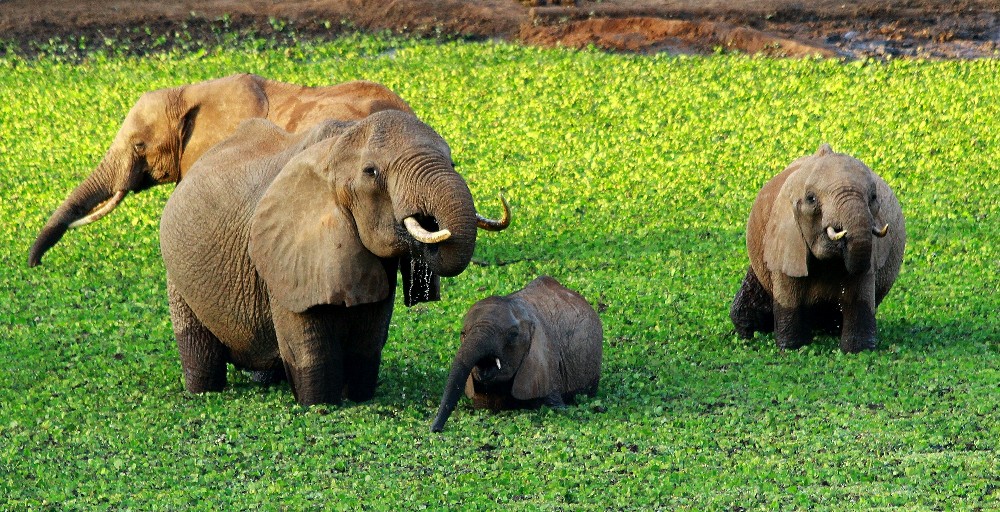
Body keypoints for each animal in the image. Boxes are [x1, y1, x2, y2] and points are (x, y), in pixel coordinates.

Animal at [162, 110, 516, 406]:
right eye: (371, 172)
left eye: (452, 162)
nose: (429, 221)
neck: (335, 152)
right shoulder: (285, 258)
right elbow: (309, 345)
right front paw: (319, 407)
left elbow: (369, 339)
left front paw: (358, 400)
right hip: (175, 273)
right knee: (199, 351)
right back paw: (203, 391)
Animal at [728, 144, 908, 352]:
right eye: (811, 199)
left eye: (873, 197)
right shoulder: (785, 240)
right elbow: (789, 297)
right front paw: (791, 349)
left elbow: (859, 295)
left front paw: (858, 350)